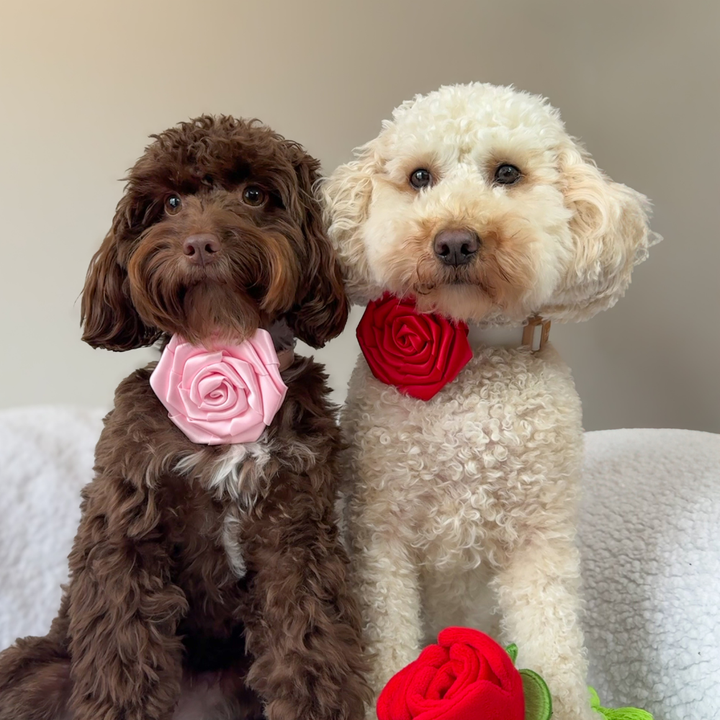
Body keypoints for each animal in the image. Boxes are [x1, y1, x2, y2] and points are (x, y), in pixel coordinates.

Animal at [0, 115, 368, 720]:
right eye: (170, 203)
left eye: (254, 195)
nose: (199, 243)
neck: (220, 342)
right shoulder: (126, 527)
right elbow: (122, 655)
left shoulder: (296, 535)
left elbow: (310, 649)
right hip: (40, 668)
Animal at [324, 84, 656, 720]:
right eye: (420, 176)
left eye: (507, 172)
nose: (455, 241)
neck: (472, 359)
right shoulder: (381, 536)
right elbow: (388, 648)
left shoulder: (540, 540)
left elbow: (554, 649)